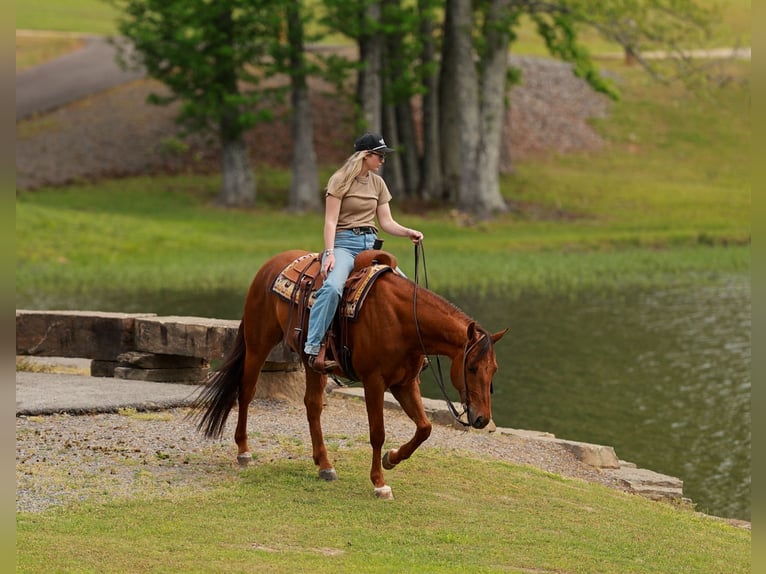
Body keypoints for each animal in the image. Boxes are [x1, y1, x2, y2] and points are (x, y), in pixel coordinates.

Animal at [191, 249, 507, 499]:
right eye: (471, 367)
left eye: (493, 369)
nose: (482, 418)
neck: (403, 319)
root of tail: (270, 264)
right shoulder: (374, 382)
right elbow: (377, 432)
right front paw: (380, 483)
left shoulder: (405, 383)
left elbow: (425, 428)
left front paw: (392, 459)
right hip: (259, 344)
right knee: (246, 391)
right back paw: (244, 451)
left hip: (311, 363)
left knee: (312, 406)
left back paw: (325, 465)